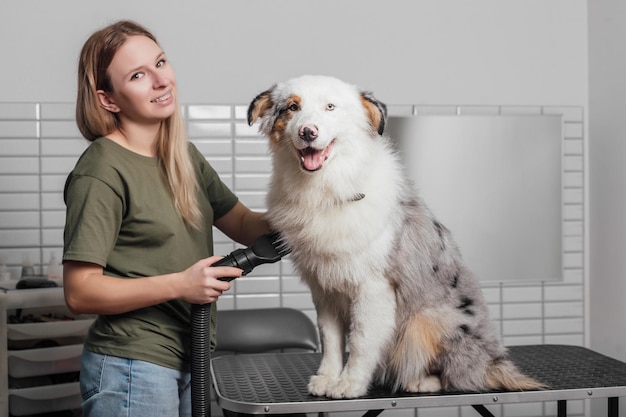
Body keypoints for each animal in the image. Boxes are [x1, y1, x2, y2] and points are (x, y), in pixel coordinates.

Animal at [246, 75, 540, 400]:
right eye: (292, 107)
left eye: (330, 107)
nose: (308, 132)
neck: (326, 189)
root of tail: (494, 363)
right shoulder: (324, 288)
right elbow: (331, 339)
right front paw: (327, 378)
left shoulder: (373, 288)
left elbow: (361, 340)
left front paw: (349, 384)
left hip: (425, 321)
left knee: (458, 374)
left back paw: (421, 382)